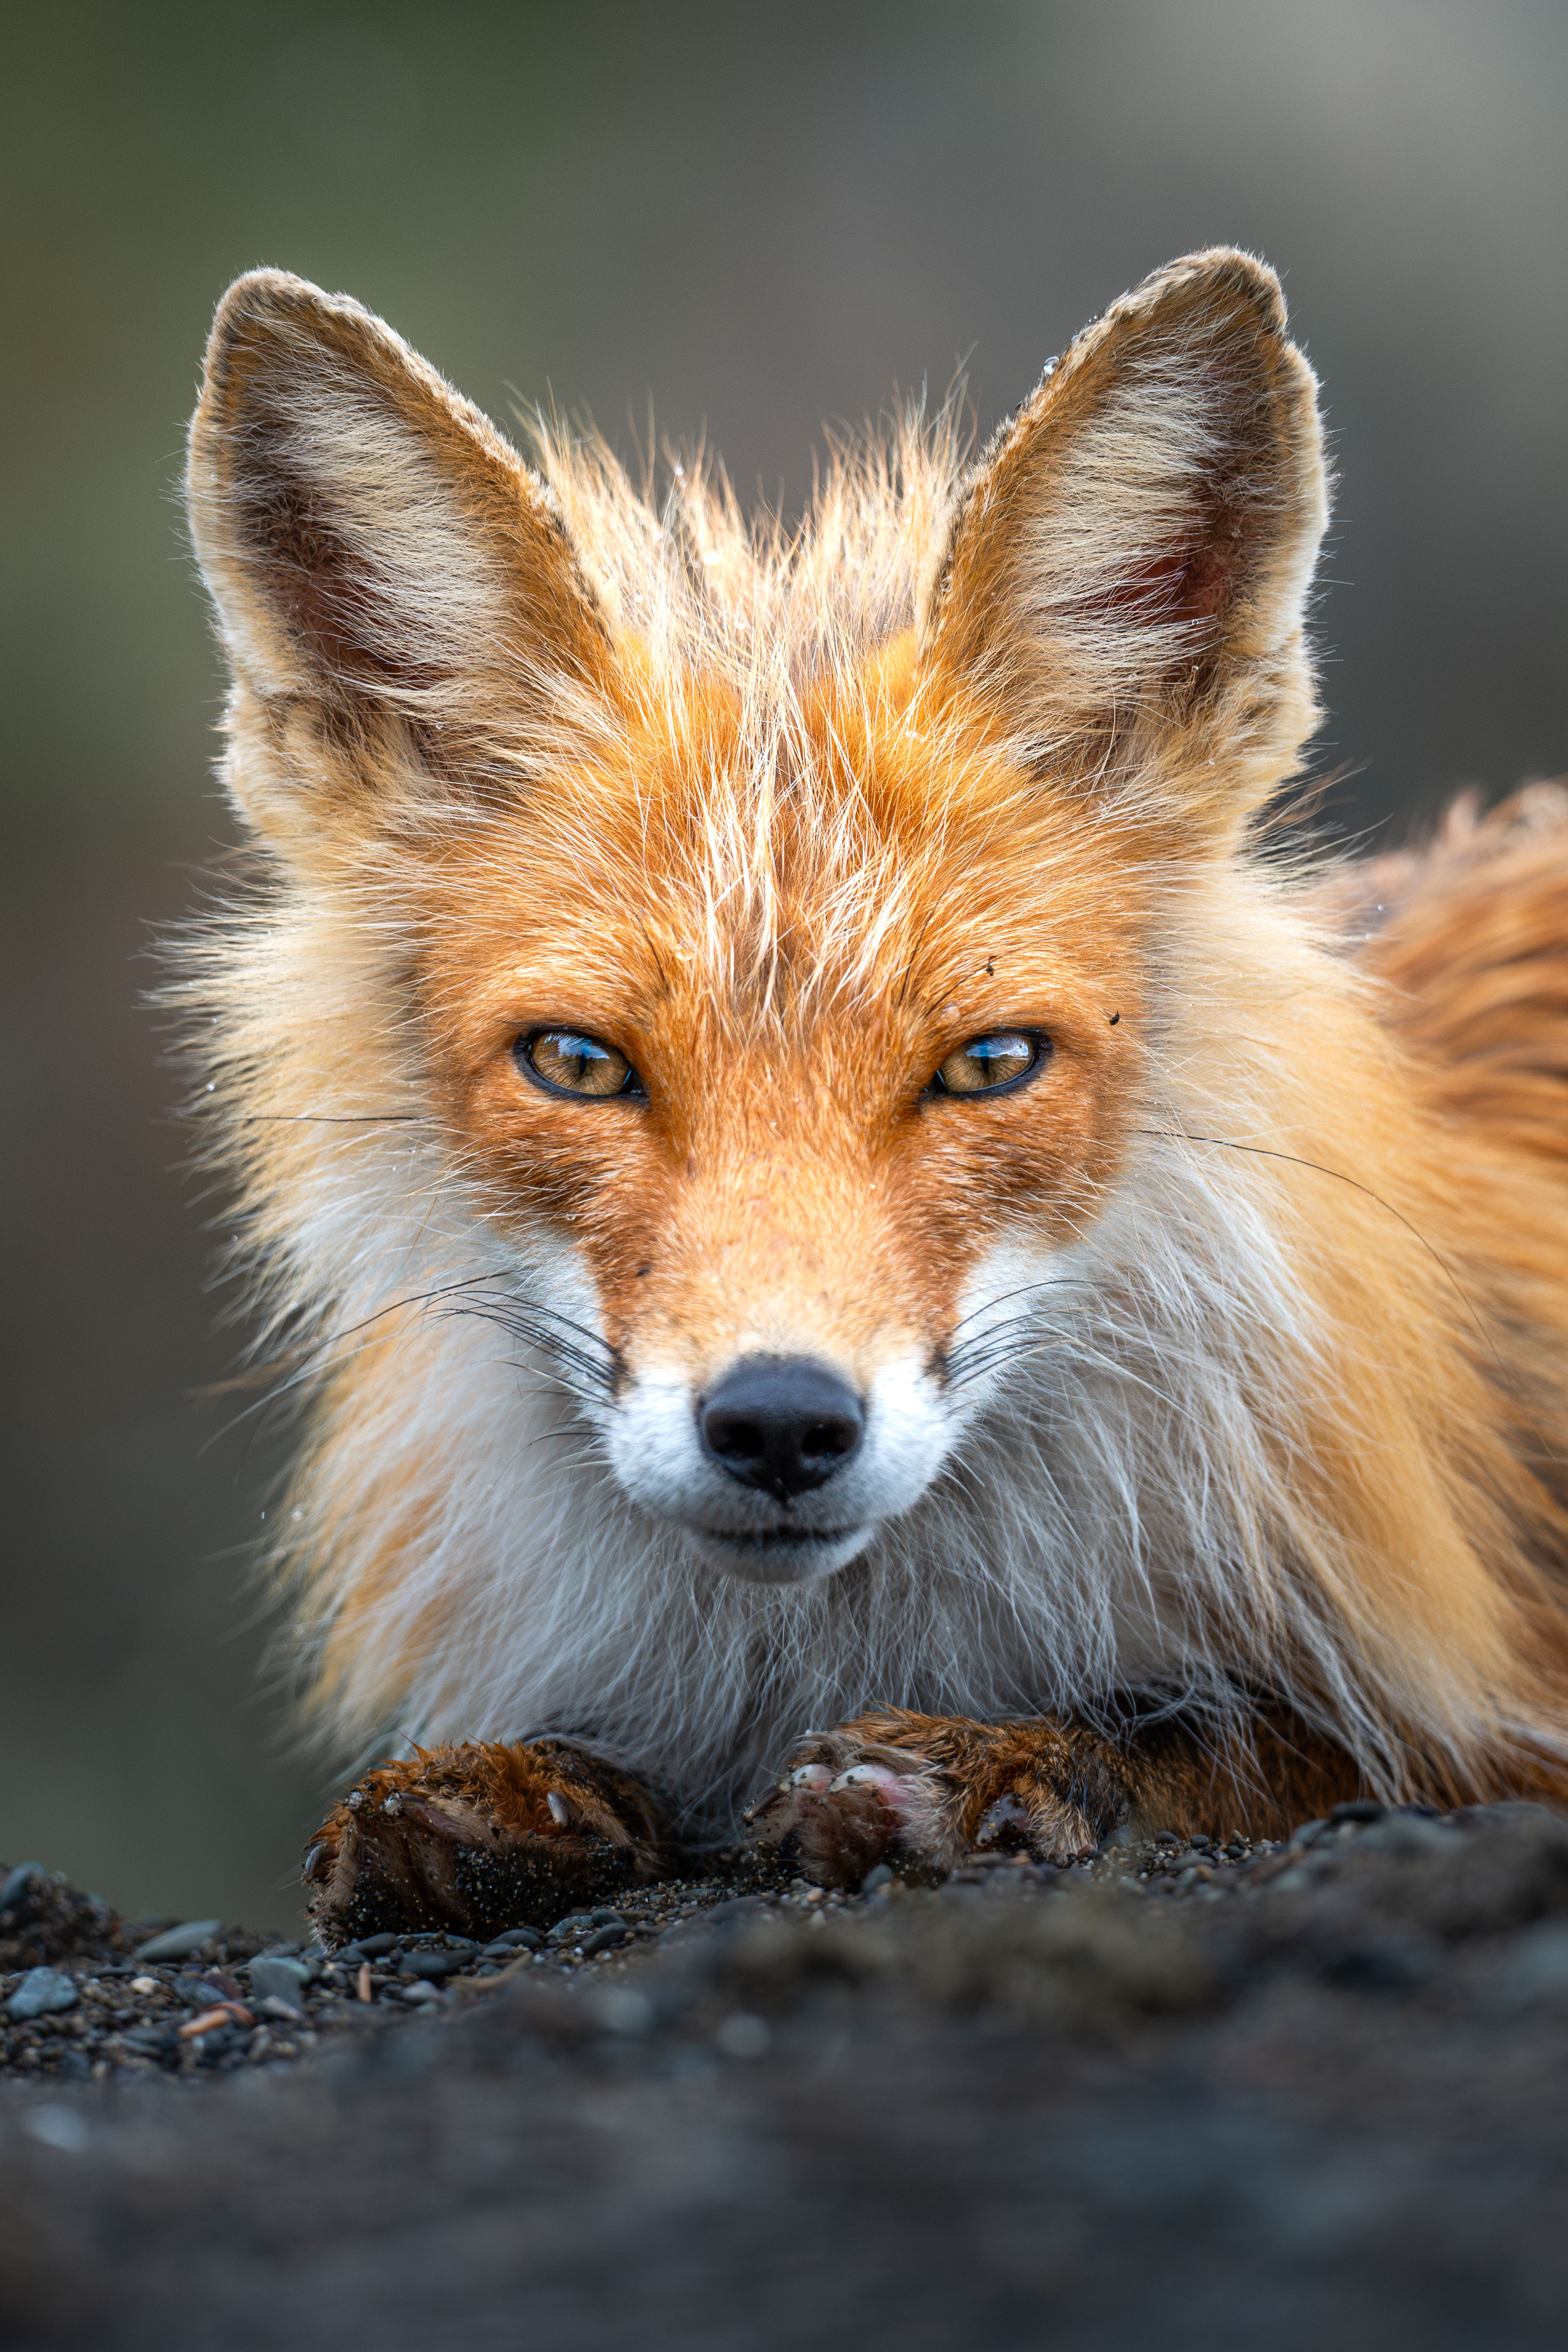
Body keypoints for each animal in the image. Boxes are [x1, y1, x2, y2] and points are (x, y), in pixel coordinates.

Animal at [176, 248, 1568, 1942]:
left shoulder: (1485, 1716)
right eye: (578, 1063)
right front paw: (510, 1794)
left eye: (988, 1064)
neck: (821, 1652)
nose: (779, 1423)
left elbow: (1282, 1740)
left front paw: (1013, 1757)